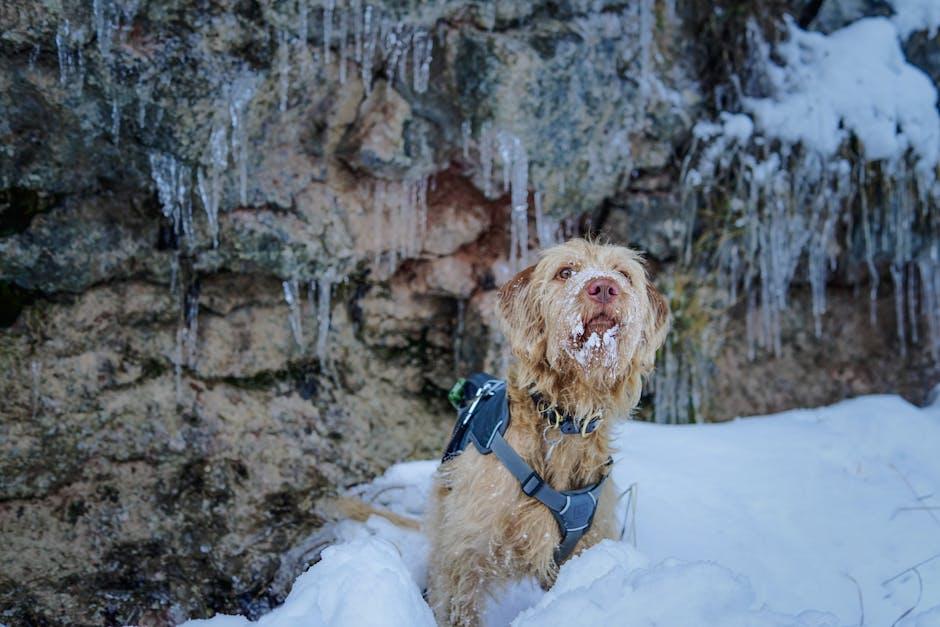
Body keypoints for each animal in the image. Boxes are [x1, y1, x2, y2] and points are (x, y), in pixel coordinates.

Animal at [426, 238, 668, 624]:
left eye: (622, 274)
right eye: (565, 272)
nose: (604, 287)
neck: (564, 419)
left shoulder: (586, 543)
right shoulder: (467, 548)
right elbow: (460, 605)